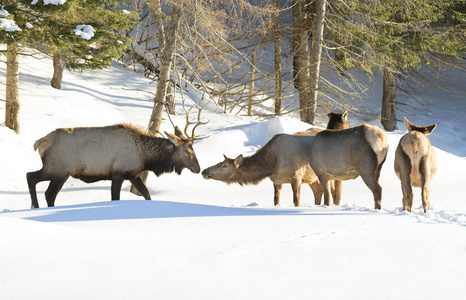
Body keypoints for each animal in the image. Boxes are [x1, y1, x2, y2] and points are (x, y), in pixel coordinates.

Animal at [26, 109, 206, 210]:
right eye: (188, 151)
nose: (198, 169)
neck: (146, 157)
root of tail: (40, 142)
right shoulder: (118, 173)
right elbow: (115, 198)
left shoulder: (133, 175)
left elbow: (146, 194)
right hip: (56, 168)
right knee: (31, 176)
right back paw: (34, 206)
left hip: (61, 174)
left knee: (49, 194)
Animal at [202, 110, 348, 206]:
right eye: (220, 162)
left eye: (224, 165)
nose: (204, 171)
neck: (272, 164)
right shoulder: (277, 181)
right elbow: (275, 200)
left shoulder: (296, 177)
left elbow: (296, 201)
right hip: (312, 177)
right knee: (318, 192)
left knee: (334, 192)